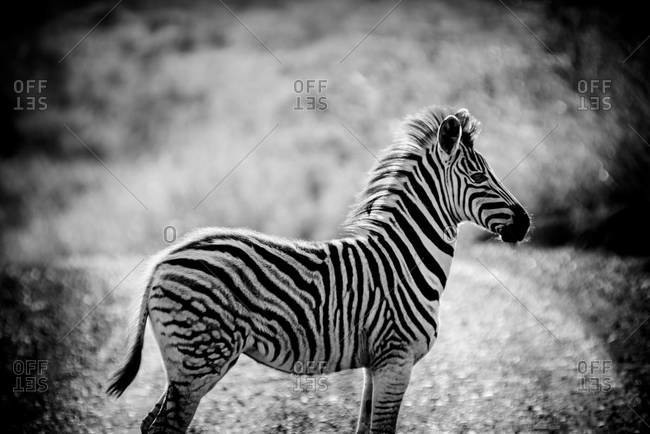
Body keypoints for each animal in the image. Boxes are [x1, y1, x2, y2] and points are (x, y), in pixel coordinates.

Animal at [107, 106, 530, 433]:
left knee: (150, 424)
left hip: (188, 364)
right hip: (200, 358)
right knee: (166, 426)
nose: (526, 223)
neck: (405, 258)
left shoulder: (375, 364)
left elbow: (365, 428)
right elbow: (383, 429)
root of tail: (165, 258)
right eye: (478, 177)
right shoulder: (396, 358)